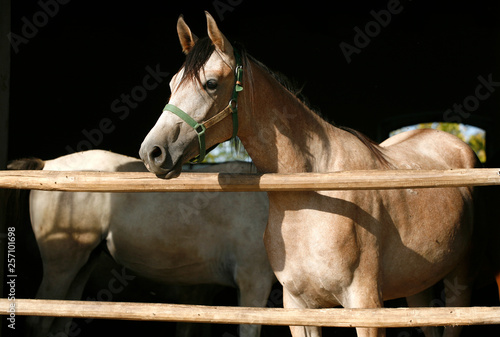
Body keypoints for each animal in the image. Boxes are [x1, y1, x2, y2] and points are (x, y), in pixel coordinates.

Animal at [140, 11, 480, 336]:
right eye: (171, 84)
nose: (152, 152)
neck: (311, 194)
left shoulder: (365, 305)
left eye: (210, 83)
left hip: (458, 284)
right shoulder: (299, 307)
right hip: (418, 286)